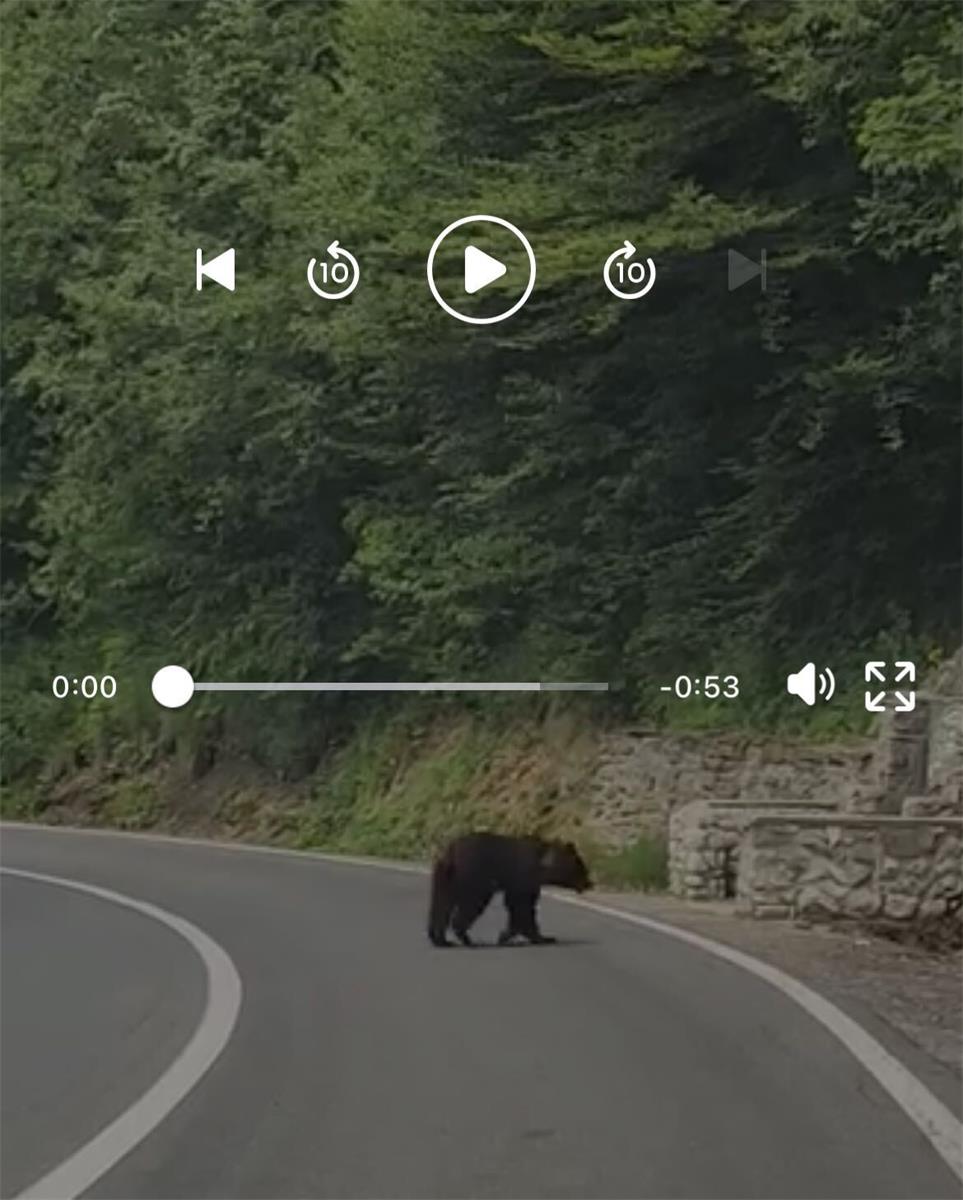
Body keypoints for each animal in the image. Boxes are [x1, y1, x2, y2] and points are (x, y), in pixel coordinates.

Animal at [427, 831, 592, 947]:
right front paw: (540, 937)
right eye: (582, 868)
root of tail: (451, 852)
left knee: (441, 905)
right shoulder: (524, 877)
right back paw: (465, 938)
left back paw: (441, 940)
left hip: (445, 878)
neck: (542, 866)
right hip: (473, 876)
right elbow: (522, 906)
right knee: (471, 904)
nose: (590, 883)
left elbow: (520, 906)